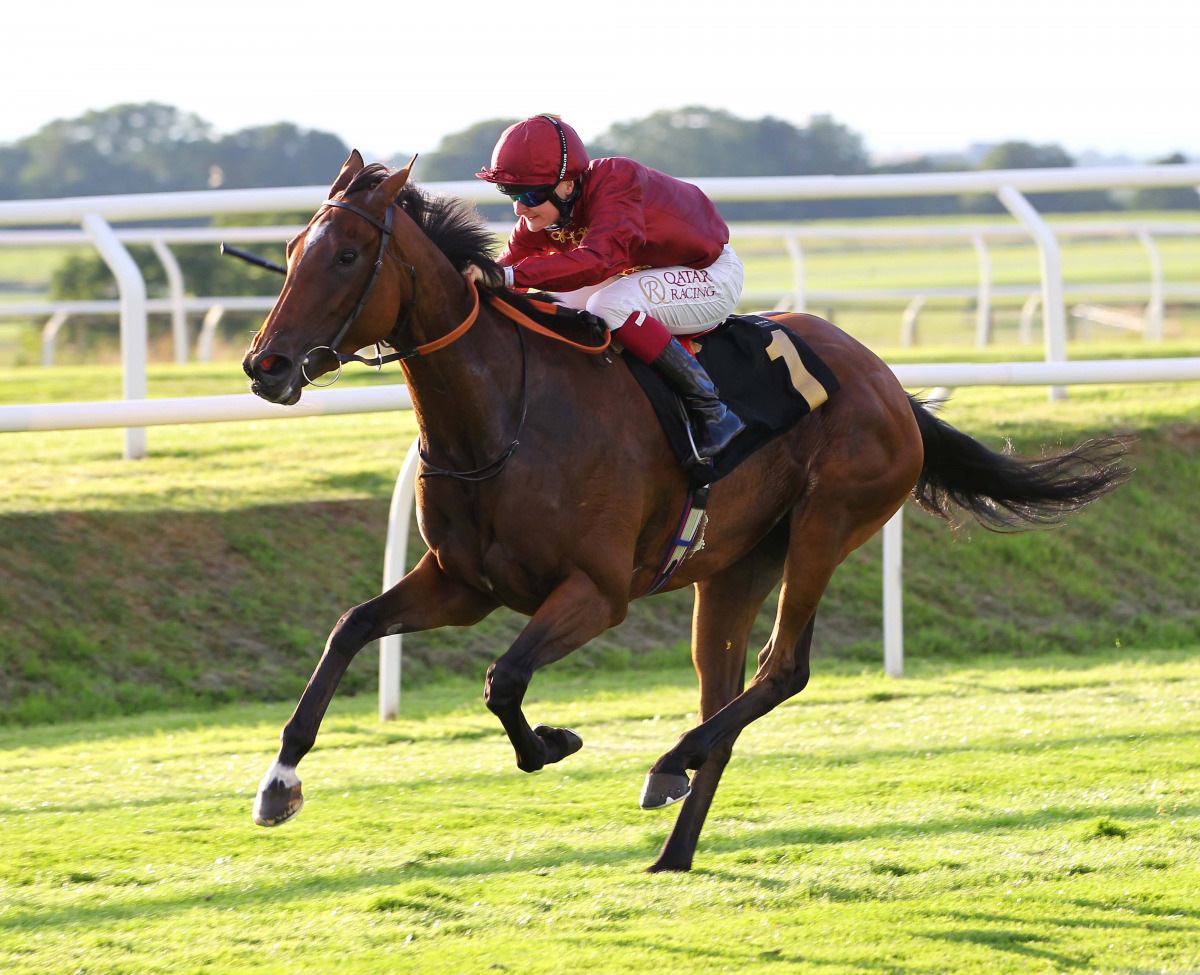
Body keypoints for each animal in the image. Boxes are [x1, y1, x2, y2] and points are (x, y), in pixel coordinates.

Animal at [238, 153, 1128, 874]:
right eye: (291, 251)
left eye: (347, 255)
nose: (264, 365)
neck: (503, 413)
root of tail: (889, 384)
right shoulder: (464, 584)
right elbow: (351, 627)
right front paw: (280, 781)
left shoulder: (597, 592)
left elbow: (504, 680)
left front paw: (555, 741)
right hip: (733, 567)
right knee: (723, 695)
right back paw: (676, 845)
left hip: (828, 523)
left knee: (781, 670)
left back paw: (670, 759)